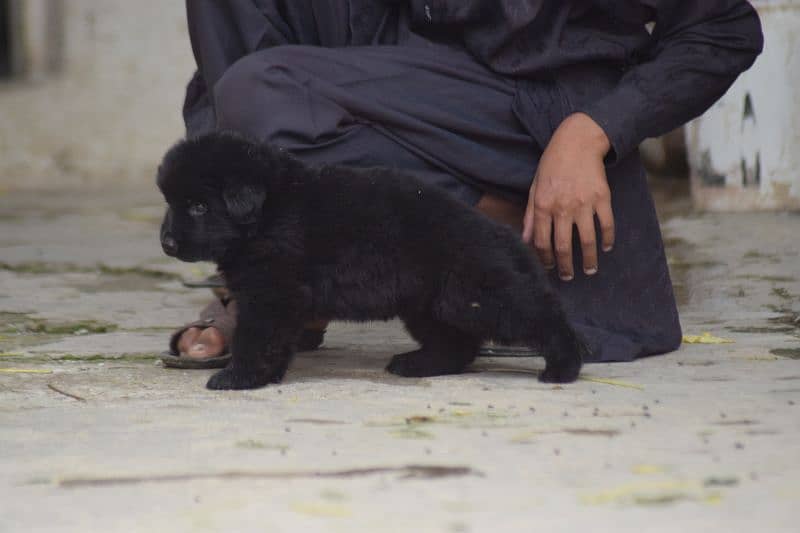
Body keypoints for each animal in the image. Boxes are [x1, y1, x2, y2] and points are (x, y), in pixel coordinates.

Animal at [156, 131, 588, 388]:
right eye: (171, 202)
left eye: (198, 206)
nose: (168, 242)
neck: (267, 213)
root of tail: (500, 233)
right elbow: (272, 341)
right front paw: (266, 375)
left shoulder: (272, 294)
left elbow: (255, 337)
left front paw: (237, 377)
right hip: (429, 304)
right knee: (456, 344)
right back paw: (417, 364)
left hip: (477, 295)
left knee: (541, 317)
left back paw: (563, 366)